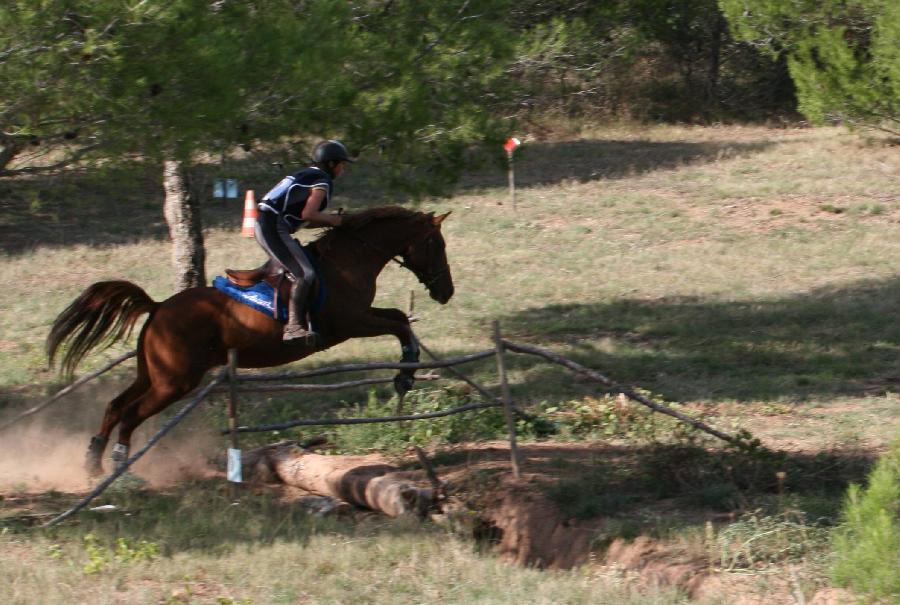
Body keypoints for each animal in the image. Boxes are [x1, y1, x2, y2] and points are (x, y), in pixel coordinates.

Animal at [45, 205, 454, 474]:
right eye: (437, 244)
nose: (446, 292)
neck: (350, 259)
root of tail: (159, 307)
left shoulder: (361, 317)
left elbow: (399, 318)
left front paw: (407, 372)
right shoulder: (351, 323)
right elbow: (399, 324)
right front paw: (406, 373)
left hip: (154, 374)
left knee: (115, 406)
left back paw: (93, 463)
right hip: (175, 382)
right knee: (130, 414)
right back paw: (119, 465)